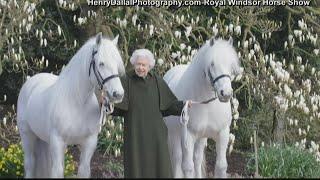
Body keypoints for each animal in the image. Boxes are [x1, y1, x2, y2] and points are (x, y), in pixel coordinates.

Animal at [16, 32, 125, 177]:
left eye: (117, 64)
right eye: (101, 63)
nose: (118, 94)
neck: (77, 102)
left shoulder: (89, 143)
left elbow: (83, 171)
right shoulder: (57, 142)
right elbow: (57, 172)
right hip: (27, 135)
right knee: (30, 164)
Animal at [165, 37, 240, 178]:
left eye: (231, 65)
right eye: (212, 64)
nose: (226, 94)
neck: (206, 105)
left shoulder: (222, 133)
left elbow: (221, 166)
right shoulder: (188, 136)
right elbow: (188, 168)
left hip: (201, 137)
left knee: (197, 158)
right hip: (174, 134)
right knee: (178, 158)